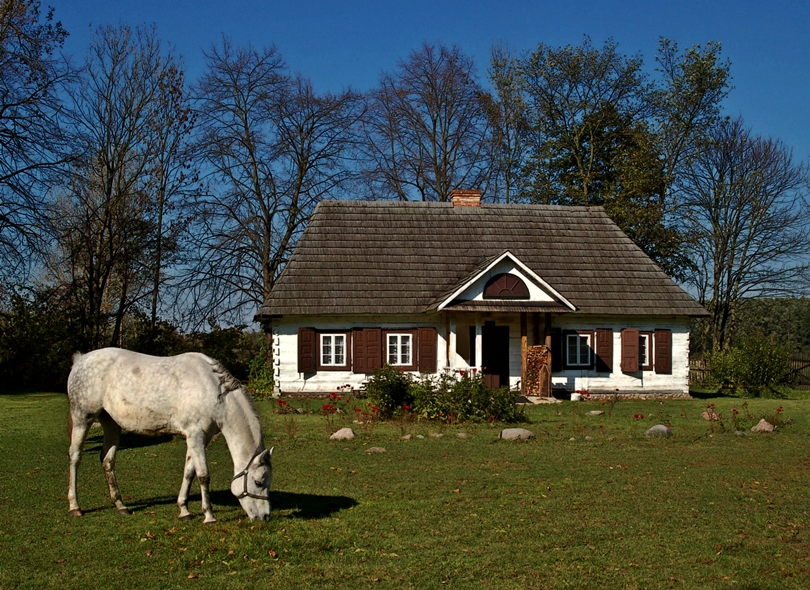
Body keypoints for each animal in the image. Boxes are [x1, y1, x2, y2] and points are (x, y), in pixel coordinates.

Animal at [65, 350, 272, 524]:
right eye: (258, 482)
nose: (265, 516)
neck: (211, 389)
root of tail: (80, 361)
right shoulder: (195, 435)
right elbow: (203, 475)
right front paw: (209, 516)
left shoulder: (199, 438)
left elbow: (189, 472)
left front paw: (184, 510)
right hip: (82, 418)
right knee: (75, 457)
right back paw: (75, 507)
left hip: (111, 425)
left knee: (107, 460)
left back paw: (120, 505)